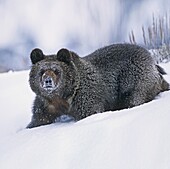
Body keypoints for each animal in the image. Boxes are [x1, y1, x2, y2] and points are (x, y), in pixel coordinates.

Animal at [26, 43, 169, 128]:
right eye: (42, 71)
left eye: (56, 71)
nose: (48, 81)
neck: (63, 96)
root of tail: (153, 61)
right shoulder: (46, 103)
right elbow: (39, 118)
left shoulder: (85, 97)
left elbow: (90, 113)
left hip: (134, 78)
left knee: (134, 98)